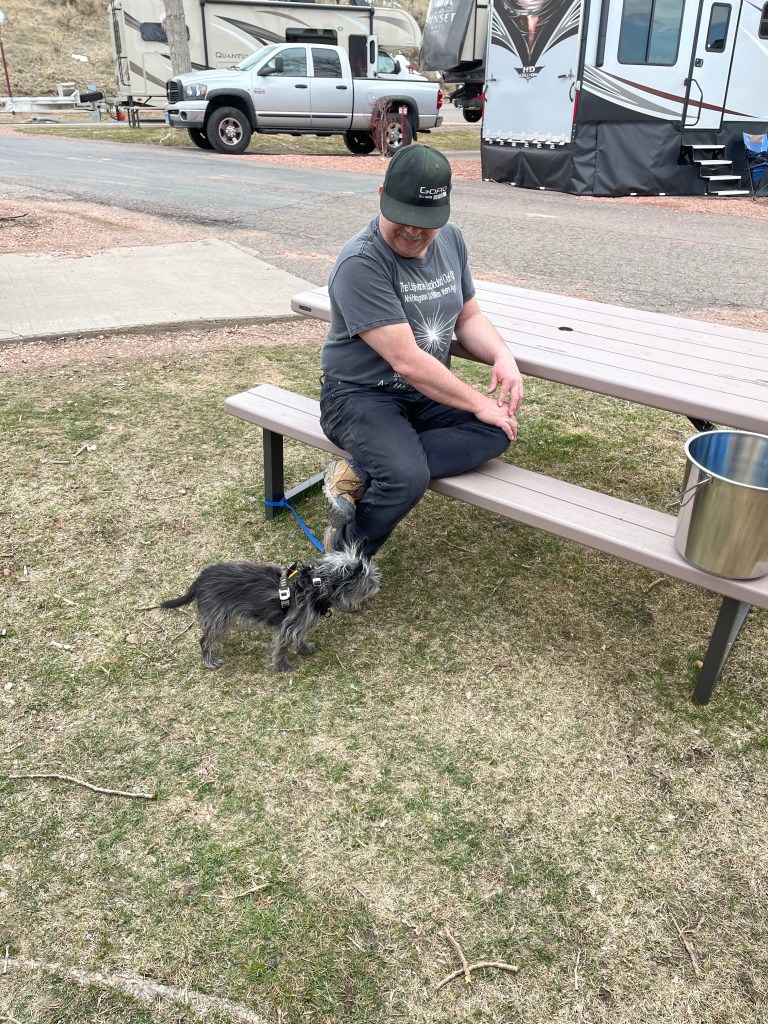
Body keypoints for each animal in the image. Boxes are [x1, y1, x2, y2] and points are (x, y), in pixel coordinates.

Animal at [160, 545, 381, 672]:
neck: (317, 585)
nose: (380, 585)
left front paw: (303, 649)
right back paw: (209, 660)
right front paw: (282, 665)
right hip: (218, 617)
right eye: (369, 580)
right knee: (204, 640)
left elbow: (300, 637)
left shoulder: (301, 624)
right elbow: (283, 645)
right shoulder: (290, 625)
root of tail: (201, 579)